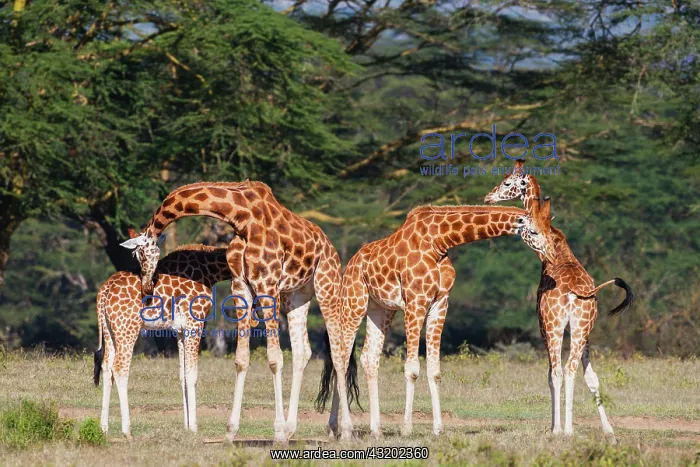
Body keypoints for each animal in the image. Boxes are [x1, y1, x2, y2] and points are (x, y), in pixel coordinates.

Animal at [93, 241, 236, 438]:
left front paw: (186, 426)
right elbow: (192, 375)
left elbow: (183, 375)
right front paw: (194, 427)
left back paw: (104, 428)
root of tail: (103, 291)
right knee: (120, 368)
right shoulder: (195, 322)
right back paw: (127, 430)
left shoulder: (180, 330)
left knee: (107, 367)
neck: (209, 271)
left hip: (109, 330)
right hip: (128, 328)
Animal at [119, 181, 352, 442]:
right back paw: (295, 428)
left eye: (138, 254)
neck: (241, 218)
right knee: (303, 351)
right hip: (297, 296)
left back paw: (343, 429)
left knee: (339, 352)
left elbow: (274, 358)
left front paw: (277, 431)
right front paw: (231, 431)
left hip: (326, 285)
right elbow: (241, 359)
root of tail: (330, 247)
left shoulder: (267, 285)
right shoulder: (241, 286)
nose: (146, 286)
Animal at [318, 204, 548, 440]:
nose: (549, 250)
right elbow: (412, 369)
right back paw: (339, 429)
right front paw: (406, 428)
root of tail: (349, 266)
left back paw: (375, 430)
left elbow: (434, 370)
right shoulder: (416, 301)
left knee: (369, 357)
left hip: (381, 309)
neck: (439, 241)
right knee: (341, 357)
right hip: (354, 301)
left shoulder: (440, 303)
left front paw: (438, 428)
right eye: (534, 231)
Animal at [486, 167, 633, 441]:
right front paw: (608, 430)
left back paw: (563, 430)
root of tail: (576, 293)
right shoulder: (583, 332)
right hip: (581, 326)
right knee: (572, 369)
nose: (489, 197)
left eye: (507, 182)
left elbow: (549, 374)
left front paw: (554, 427)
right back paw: (574, 428)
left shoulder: (543, 325)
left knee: (558, 371)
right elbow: (591, 376)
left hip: (555, 327)